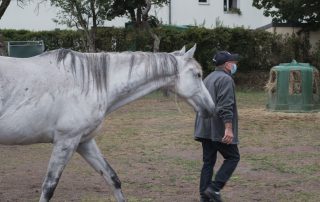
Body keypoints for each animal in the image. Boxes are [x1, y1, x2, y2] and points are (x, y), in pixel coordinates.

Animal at [0, 45, 215, 201]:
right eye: (197, 74)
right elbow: (48, 188)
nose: (212, 109)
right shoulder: (65, 142)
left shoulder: (83, 142)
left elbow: (113, 179)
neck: (85, 83)